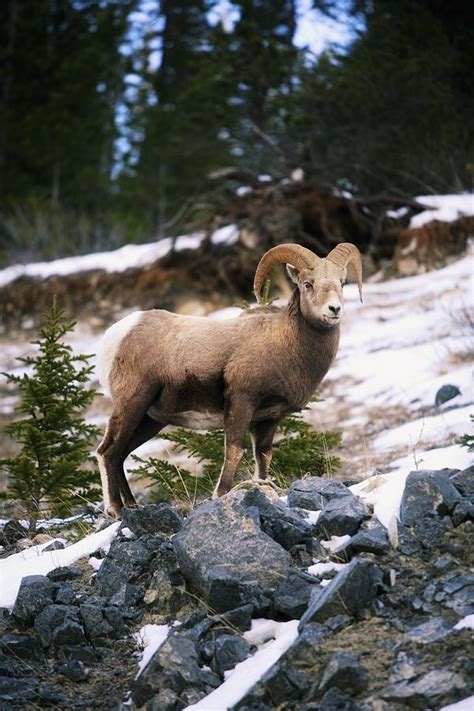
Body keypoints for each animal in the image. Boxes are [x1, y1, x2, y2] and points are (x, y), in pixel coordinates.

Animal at [96, 242, 362, 516]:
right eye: (308, 284)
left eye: (342, 283)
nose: (334, 310)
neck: (286, 343)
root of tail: (117, 334)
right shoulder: (241, 402)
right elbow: (234, 450)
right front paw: (220, 494)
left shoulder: (269, 418)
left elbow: (263, 456)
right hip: (132, 404)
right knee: (107, 452)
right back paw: (115, 509)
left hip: (150, 419)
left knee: (121, 454)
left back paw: (131, 506)